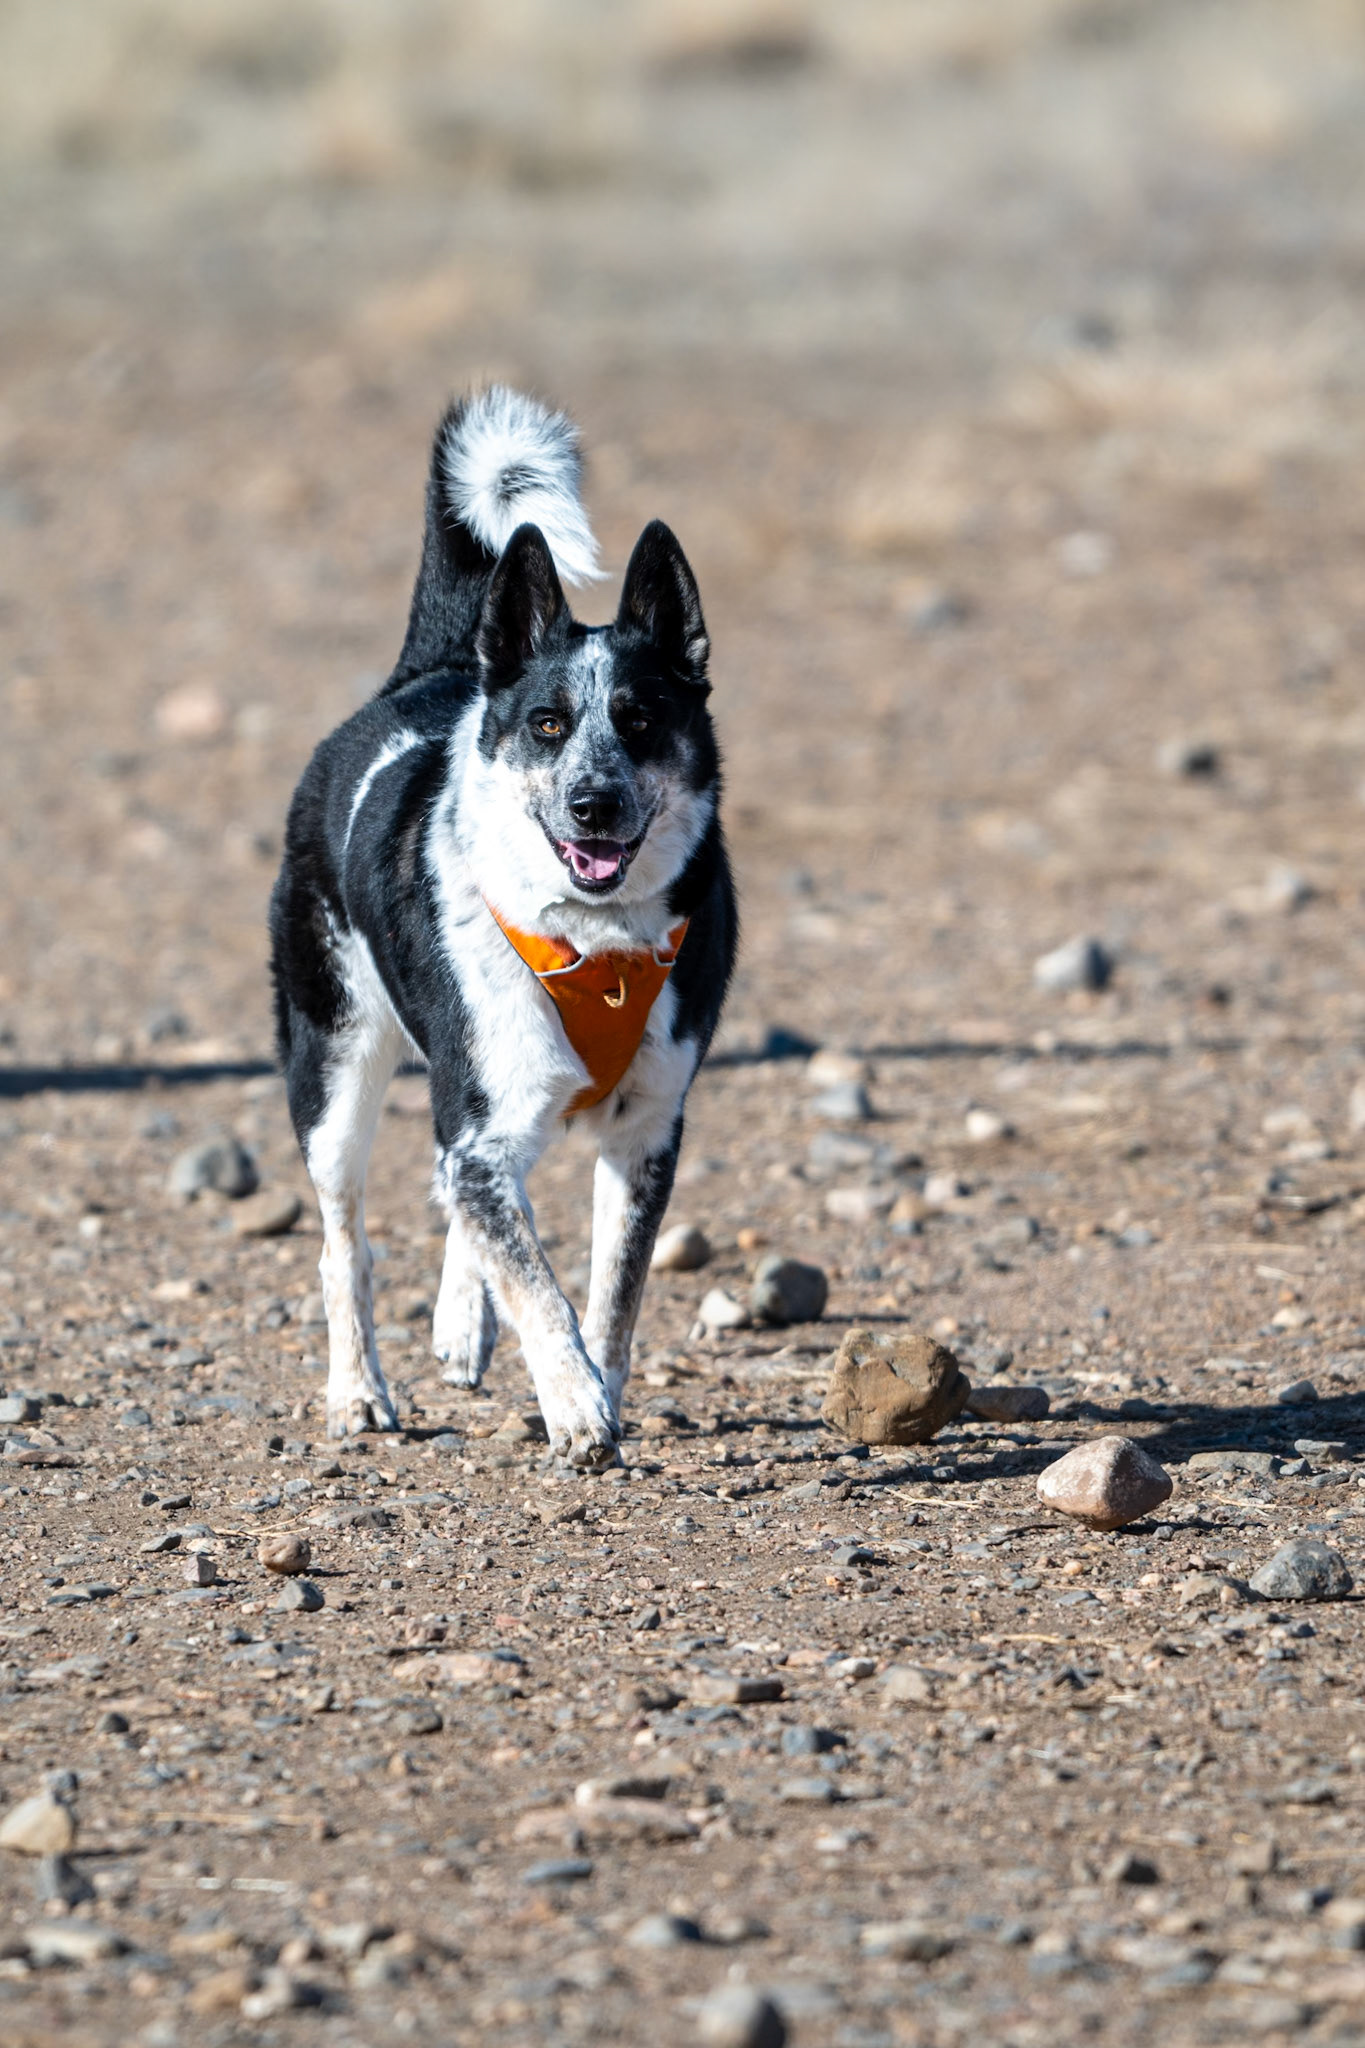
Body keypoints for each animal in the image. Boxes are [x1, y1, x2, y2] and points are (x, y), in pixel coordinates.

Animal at [269, 387, 736, 1466]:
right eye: (548, 724)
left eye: (640, 719)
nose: (594, 804)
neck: (598, 943)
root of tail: (434, 669)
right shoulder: (481, 1118)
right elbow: (540, 1287)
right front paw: (574, 1407)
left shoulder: (644, 1134)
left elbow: (609, 1296)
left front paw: (594, 1390)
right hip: (334, 1071)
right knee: (344, 1245)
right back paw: (357, 1393)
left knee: (459, 1198)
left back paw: (458, 1322)